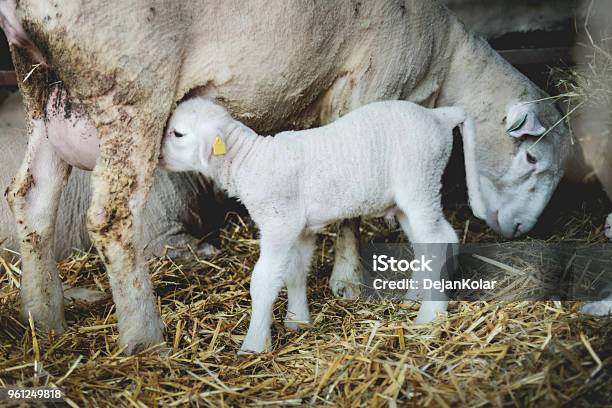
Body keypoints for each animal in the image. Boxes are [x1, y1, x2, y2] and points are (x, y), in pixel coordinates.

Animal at [159, 97, 482, 352]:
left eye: (178, 133)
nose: (157, 158)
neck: (250, 162)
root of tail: (440, 115)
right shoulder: (299, 228)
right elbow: (295, 273)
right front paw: (297, 320)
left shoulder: (279, 224)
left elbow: (263, 282)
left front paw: (254, 345)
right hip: (406, 199)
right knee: (429, 242)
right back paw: (415, 297)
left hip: (421, 181)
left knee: (439, 239)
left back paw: (430, 315)